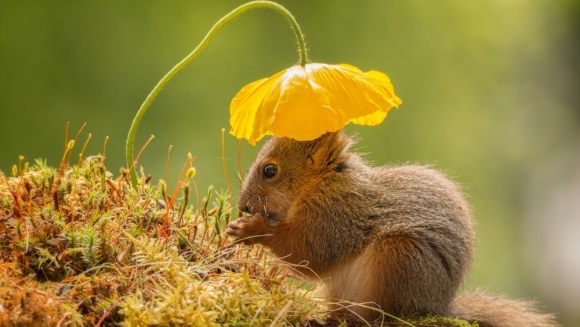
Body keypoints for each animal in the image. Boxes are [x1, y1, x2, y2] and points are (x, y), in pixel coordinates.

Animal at [227, 132, 556, 326]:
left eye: (270, 170)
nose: (243, 205)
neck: (321, 183)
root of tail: (438, 304)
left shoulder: (338, 215)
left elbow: (310, 252)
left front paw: (252, 229)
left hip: (399, 257)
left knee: (379, 315)